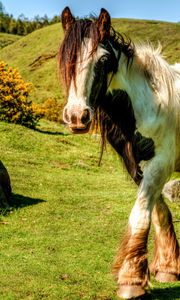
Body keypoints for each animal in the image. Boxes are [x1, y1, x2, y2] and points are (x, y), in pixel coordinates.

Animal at [58, 7, 179, 300]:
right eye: (66, 57)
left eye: (103, 60)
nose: (77, 116)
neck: (150, 103)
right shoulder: (138, 166)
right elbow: (158, 211)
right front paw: (168, 268)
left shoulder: (162, 164)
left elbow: (141, 213)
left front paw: (131, 280)